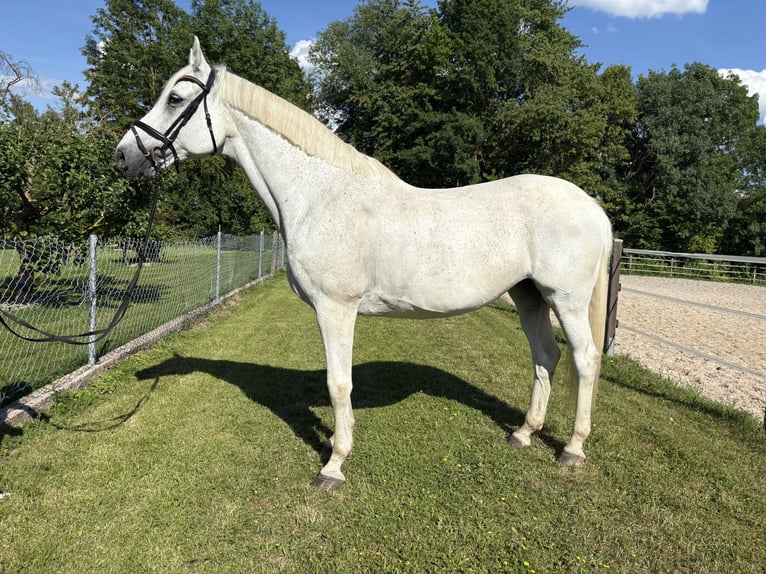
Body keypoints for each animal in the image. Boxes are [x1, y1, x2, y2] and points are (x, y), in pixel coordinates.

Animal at [116, 38, 613, 489]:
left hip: (565, 299)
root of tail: (591, 205)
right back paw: (524, 433)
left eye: (175, 98)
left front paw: (333, 465)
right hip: (528, 295)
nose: (124, 154)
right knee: (545, 356)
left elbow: (338, 385)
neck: (319, 195)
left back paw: (572, 447)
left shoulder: (335, 308)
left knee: (585, 359)